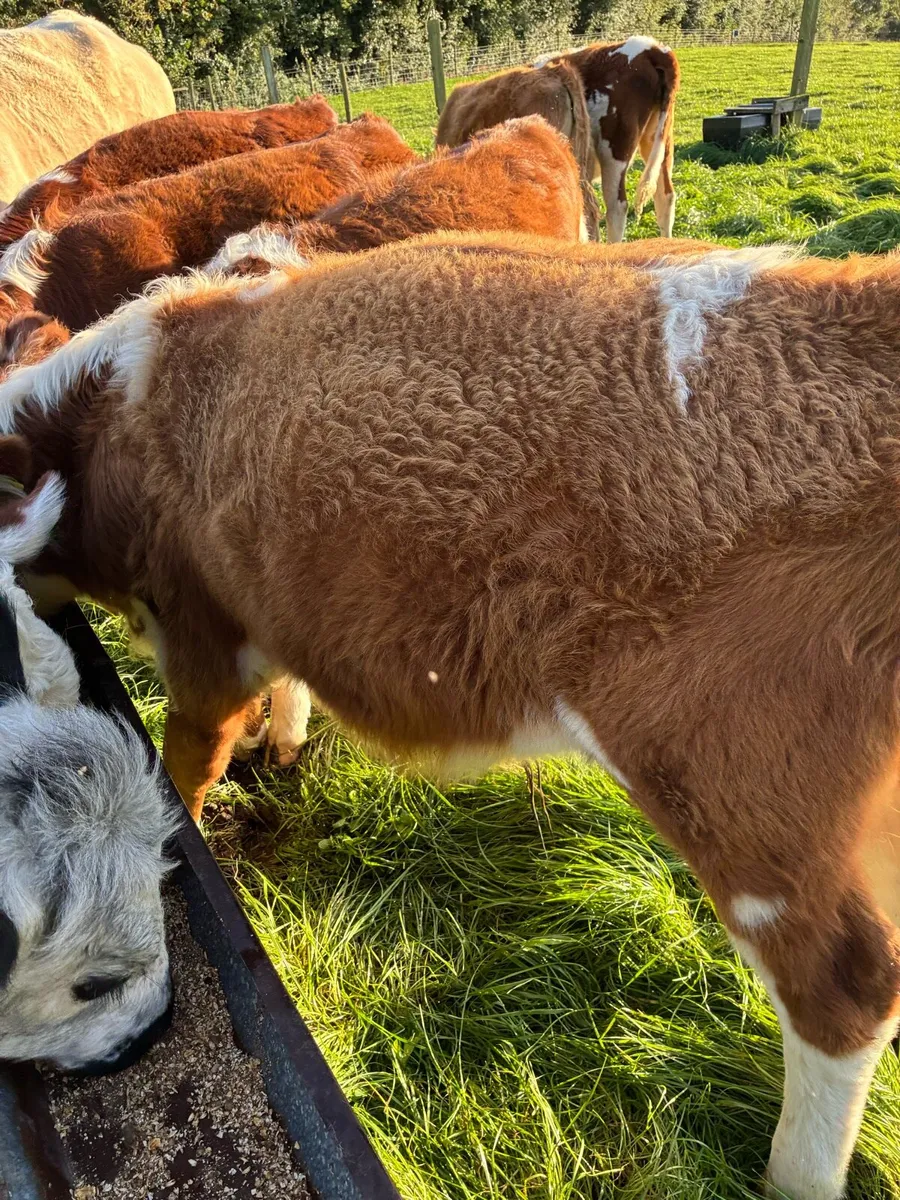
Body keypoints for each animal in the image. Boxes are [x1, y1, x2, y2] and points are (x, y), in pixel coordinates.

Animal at [0, 232, 897, 1197]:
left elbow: (184, 773)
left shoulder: (200, 638)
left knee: (844, 994)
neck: (117, 404)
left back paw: (792, 1175)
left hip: (735, 784)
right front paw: (286, 738)